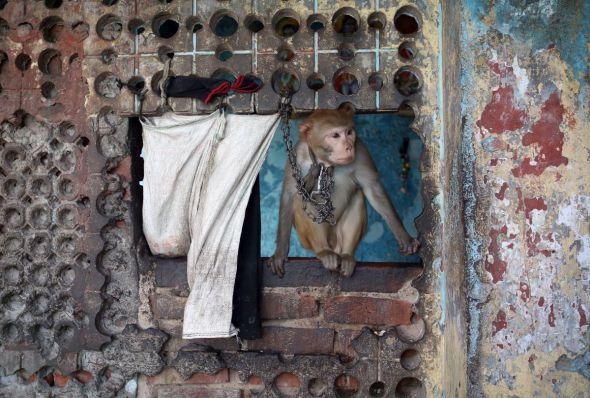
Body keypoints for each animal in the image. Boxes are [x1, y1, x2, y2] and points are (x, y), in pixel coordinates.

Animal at [268, 102, 420, 278]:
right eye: (335, 135)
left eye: (349, 132)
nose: (348, 147)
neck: (326, 163)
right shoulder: (296, 156)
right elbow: (288, 194)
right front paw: (279, 254)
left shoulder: (360, 150)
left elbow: (372, 188)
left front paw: (405, 237)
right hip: (306, 240)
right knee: (301, 199)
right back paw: (324, 252)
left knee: (358, 196)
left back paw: (347, 256)